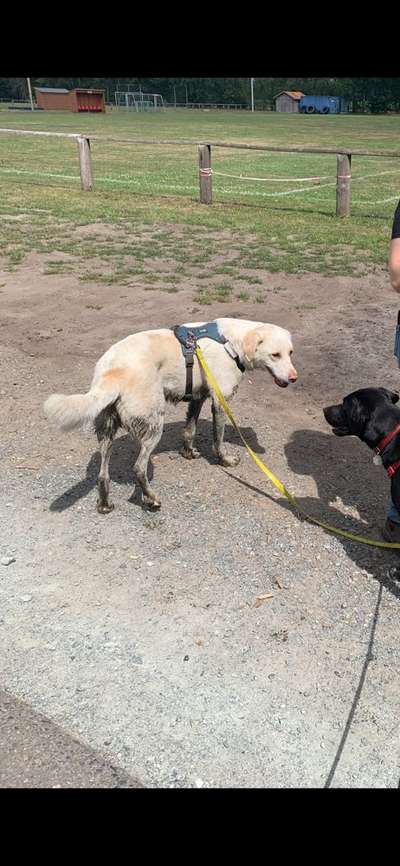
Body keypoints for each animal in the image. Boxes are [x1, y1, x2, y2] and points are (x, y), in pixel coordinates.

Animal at [44, 316, 296, 506]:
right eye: (275, 355)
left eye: (291, 353)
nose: (294, 378)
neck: (232, 343)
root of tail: (112, 373)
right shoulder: (219, 401)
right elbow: (218, 439)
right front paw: (224, 460)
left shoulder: (197, 398)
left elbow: (190, 430)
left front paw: (188, 452)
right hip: (154, 425)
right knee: (138, 468)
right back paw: (150, 498)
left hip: (106, 430)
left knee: (103, 473)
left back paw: (105, 504)